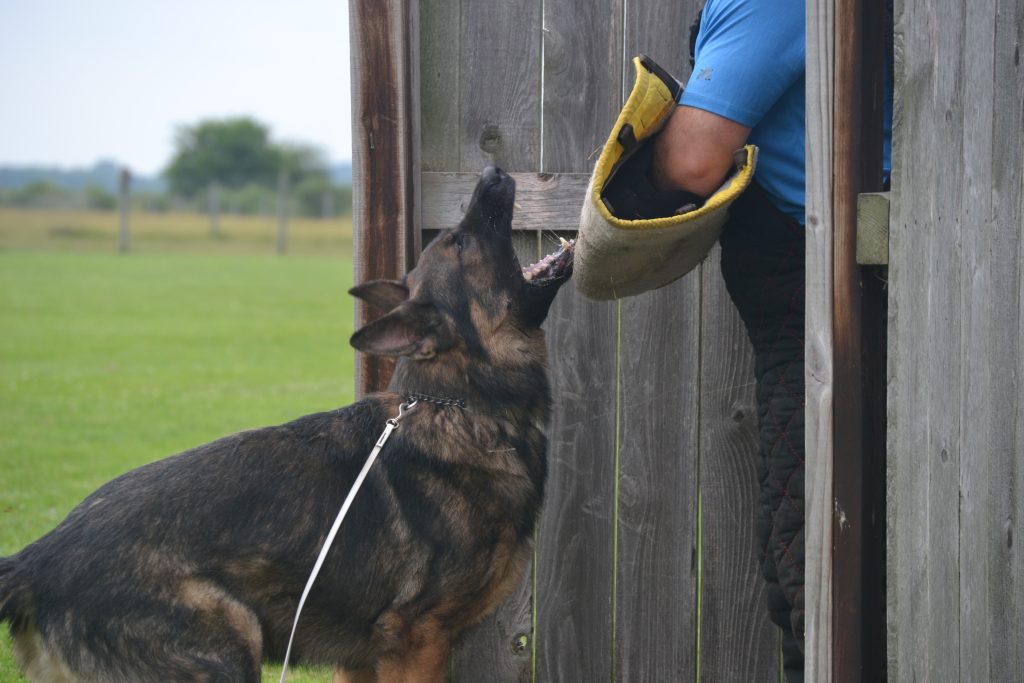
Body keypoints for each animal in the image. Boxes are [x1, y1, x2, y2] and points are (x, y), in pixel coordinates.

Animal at [0, 166, 574, 683]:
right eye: (459, 241)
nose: (493, 171)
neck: (460, 406)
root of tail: (37, 558)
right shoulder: (416, 640)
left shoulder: (360, 661)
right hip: (229, 649)